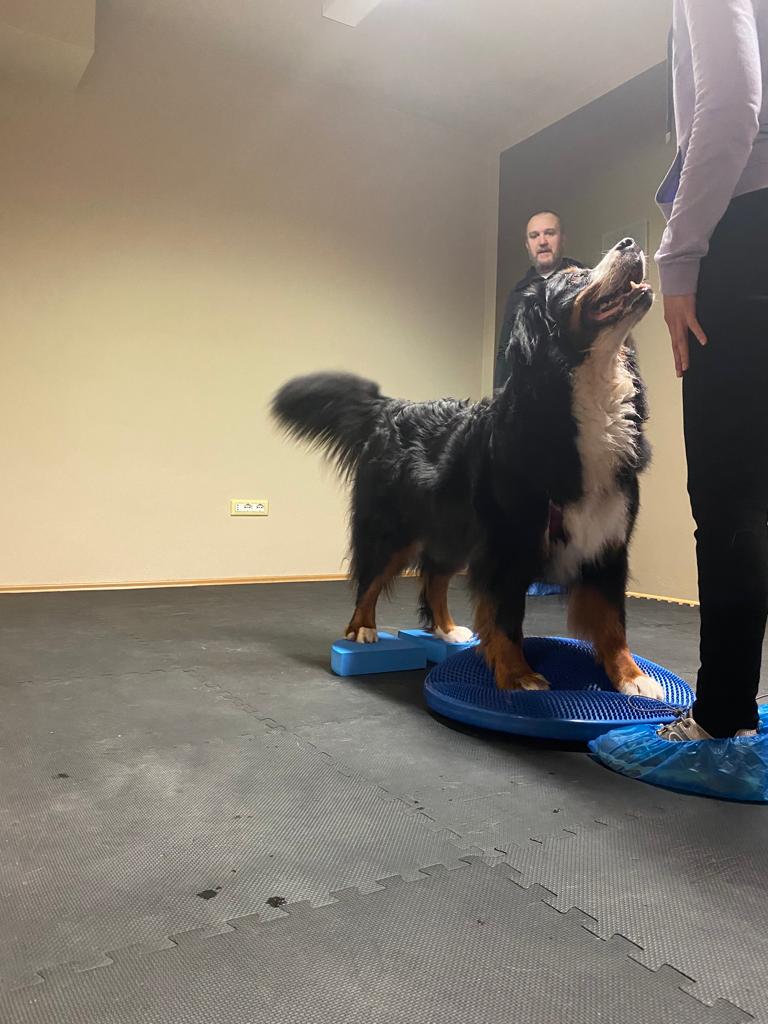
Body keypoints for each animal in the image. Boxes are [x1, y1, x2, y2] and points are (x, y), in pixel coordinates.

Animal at [272, 238, 663, 699]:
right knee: (370, 579)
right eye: (572, 279)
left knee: (434, 578)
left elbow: (613, 623)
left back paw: (446, 630)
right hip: (392, 527)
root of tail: (392, 408)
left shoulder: (608, 544)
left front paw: (632, 676)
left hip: (453, 529)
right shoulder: (508, 546)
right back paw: (362, 630)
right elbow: (506, 620)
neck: (584, 400)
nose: (629, 243)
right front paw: (518, 676)